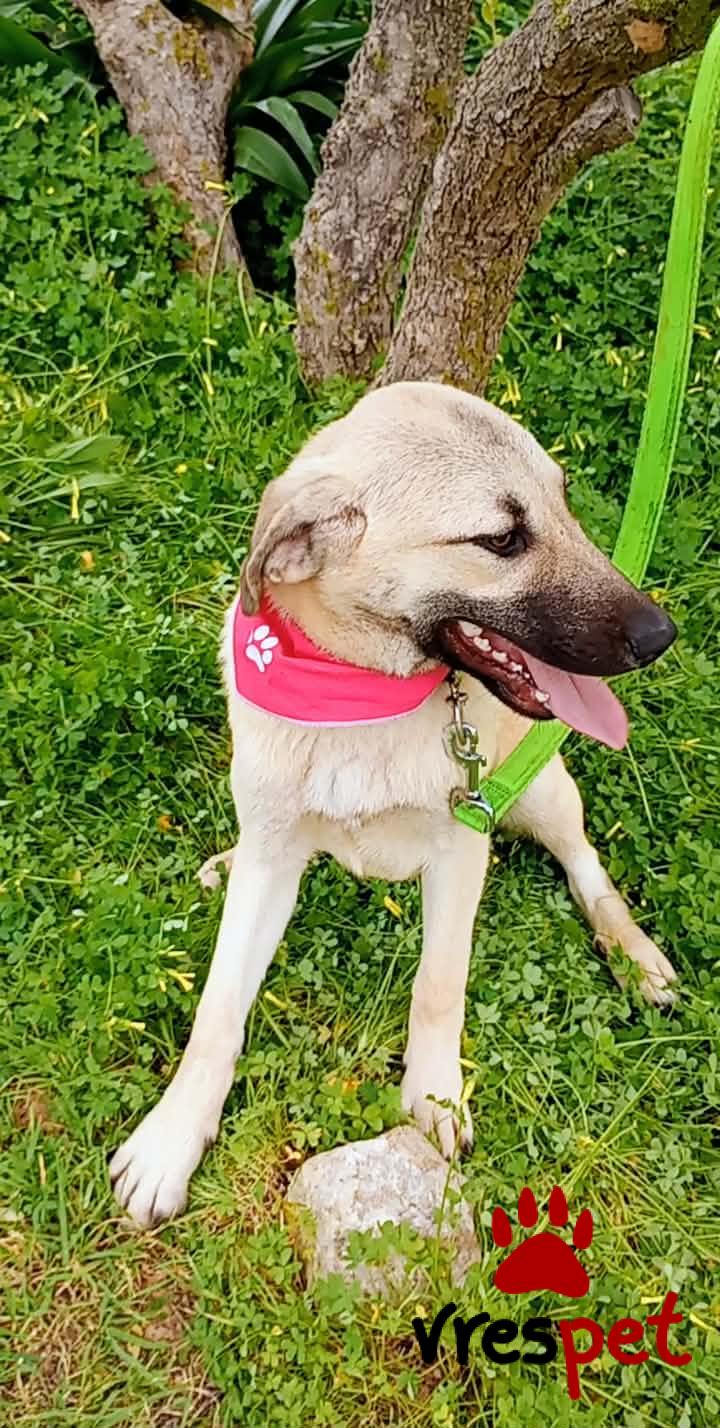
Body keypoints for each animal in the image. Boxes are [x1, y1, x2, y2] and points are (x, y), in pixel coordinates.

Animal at [110, 381, 677, 1227]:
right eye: (501, 538)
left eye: (565, 500)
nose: (661, 633)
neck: (360, 695)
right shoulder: (276, 859)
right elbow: (217, 1011)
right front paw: (172, 1138)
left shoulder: (464, 843)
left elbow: (438, 986)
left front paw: (433, 1099)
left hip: (540, 788)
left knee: (586, 865)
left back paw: (634, 955)